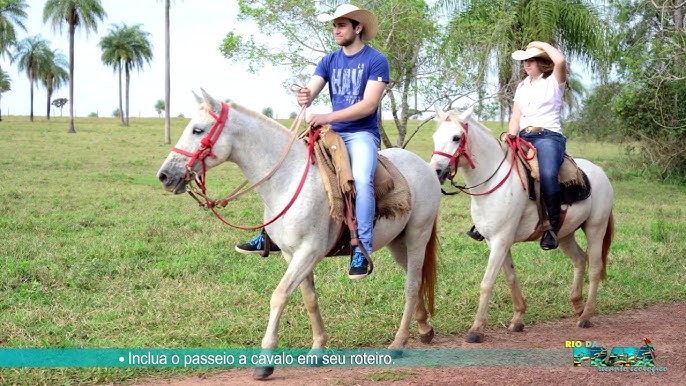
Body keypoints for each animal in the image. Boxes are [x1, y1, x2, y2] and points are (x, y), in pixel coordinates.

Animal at [157, 90, 440, 380]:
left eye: (198, 130)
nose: (164, 176)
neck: (289, 179)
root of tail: (425, 167)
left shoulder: (308, 252)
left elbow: (280, 295)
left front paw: (266, 361)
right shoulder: (291, 254)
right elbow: (309, 299)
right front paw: (318, 348)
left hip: (417, 235)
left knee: (411, 285)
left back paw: (398, 342)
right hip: (398, 243)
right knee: (416, 280)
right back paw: (424, 328)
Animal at [430, 108, 620, 344]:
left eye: (456, 137)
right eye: (435, 137)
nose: (435, 171)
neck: (492, 181)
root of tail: (600, 172)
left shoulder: (501, 240)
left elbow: (487, 282)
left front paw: (476, 329)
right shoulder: (496, 242)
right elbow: (511, 278)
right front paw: (518, 318)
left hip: (596, 228)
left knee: (594, 268)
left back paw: (586, 315)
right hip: (564, 234)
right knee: (580, 259)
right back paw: (577, 305)